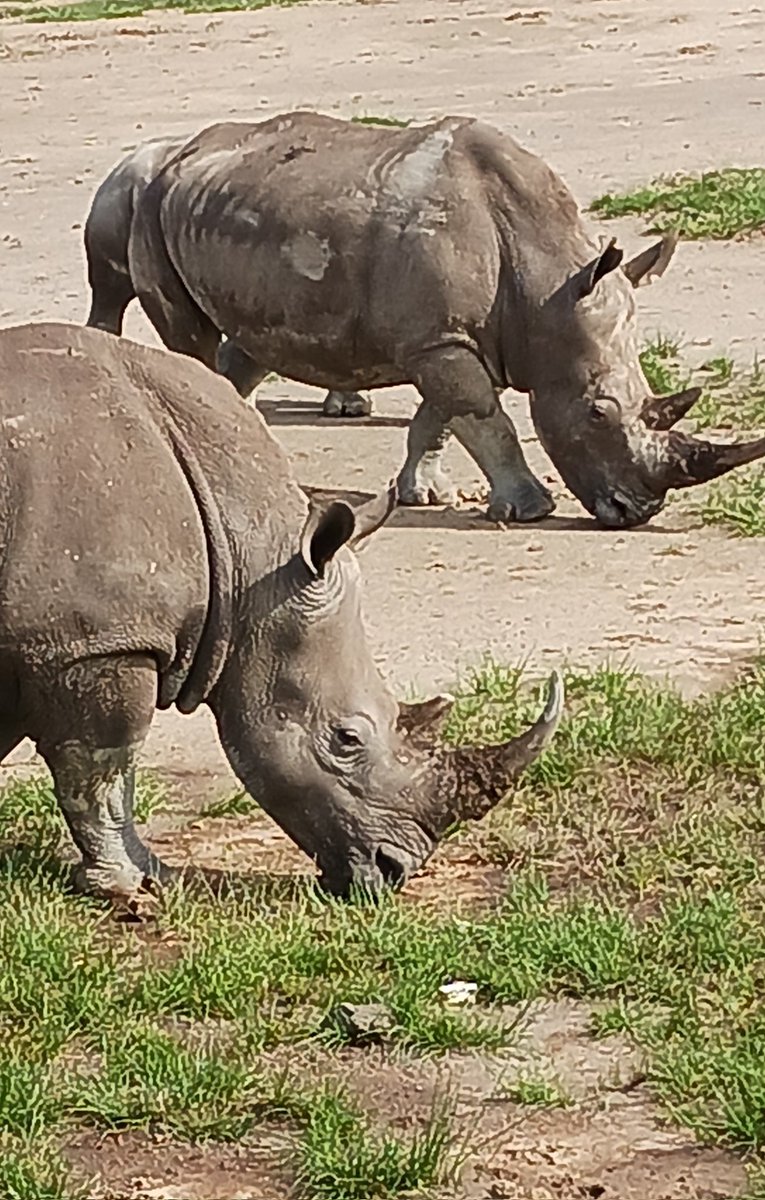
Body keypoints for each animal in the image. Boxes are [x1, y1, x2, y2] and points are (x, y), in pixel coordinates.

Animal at [0, 321, 563, 899]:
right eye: (346, 738)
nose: (394, 872)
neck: (247, 559)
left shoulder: (40, 641)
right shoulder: (99, 643)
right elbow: (104, 770)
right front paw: (136, 884)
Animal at [123, 111, 765, 528]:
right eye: (597, 413)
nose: (638, 512)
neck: (547, 285)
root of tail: (182, 150)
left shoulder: (447, 338)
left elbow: (441, 418)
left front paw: (424, 496)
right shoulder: (440, 341)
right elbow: (484, 418)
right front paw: (531, 510)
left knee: (251, 345)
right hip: (147, 206)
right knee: (190, 339)